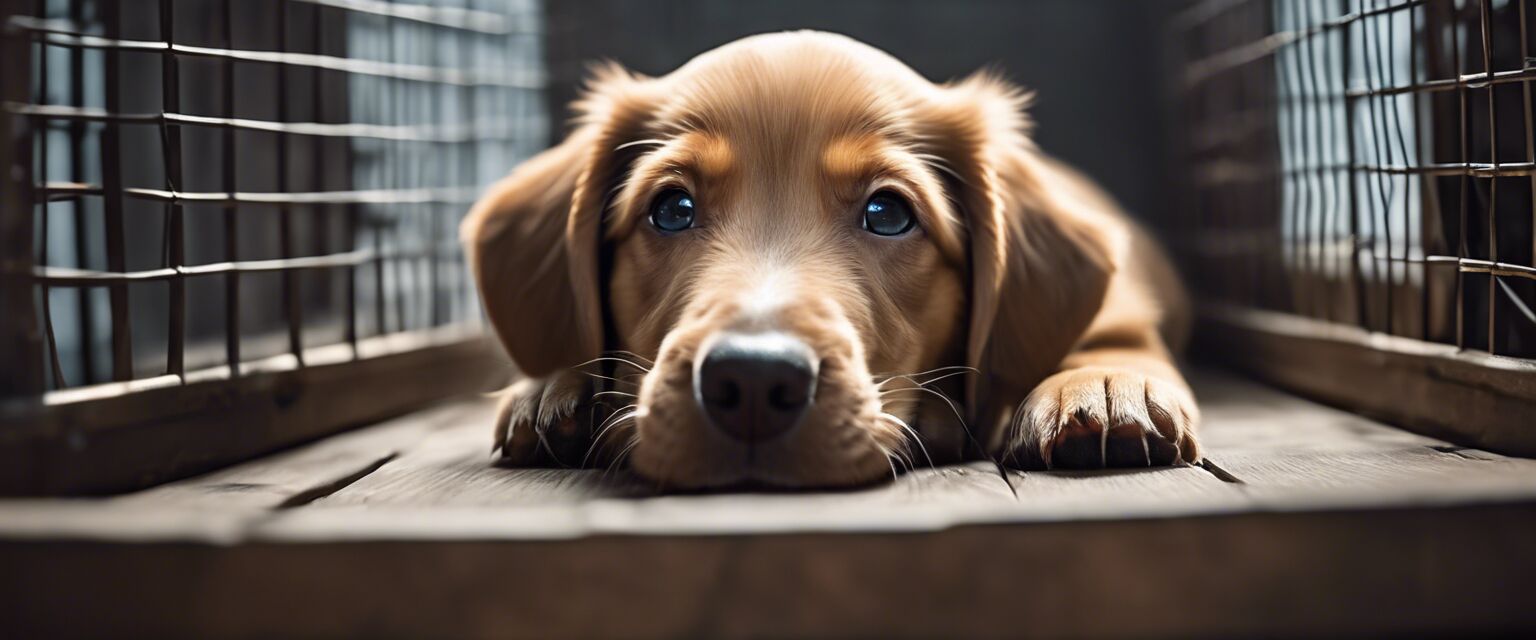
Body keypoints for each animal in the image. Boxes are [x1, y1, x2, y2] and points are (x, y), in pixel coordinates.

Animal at [460, 31, 1204, 488]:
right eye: (671, 209)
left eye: (888, 214)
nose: (752, 381)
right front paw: (555, 387)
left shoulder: (1123, 305)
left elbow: (1111, 340)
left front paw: (1101, 385)